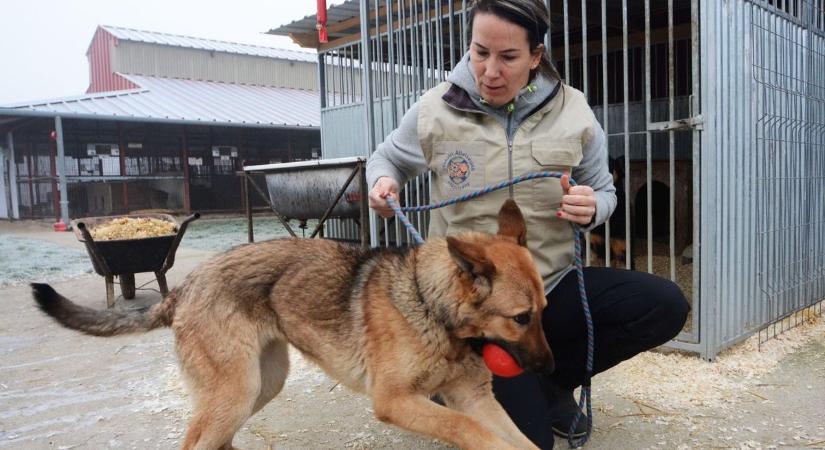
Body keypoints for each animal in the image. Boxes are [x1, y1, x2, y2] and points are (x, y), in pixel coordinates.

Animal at [29, 200, 552, 450]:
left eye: (544, 310)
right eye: (520, 318)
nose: (551, 370)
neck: (430, 305)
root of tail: (186, 285)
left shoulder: (474, 397)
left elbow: (518, 440)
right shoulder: (398, 402)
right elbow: (468, 429)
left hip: (261, 385)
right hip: (236, 392)